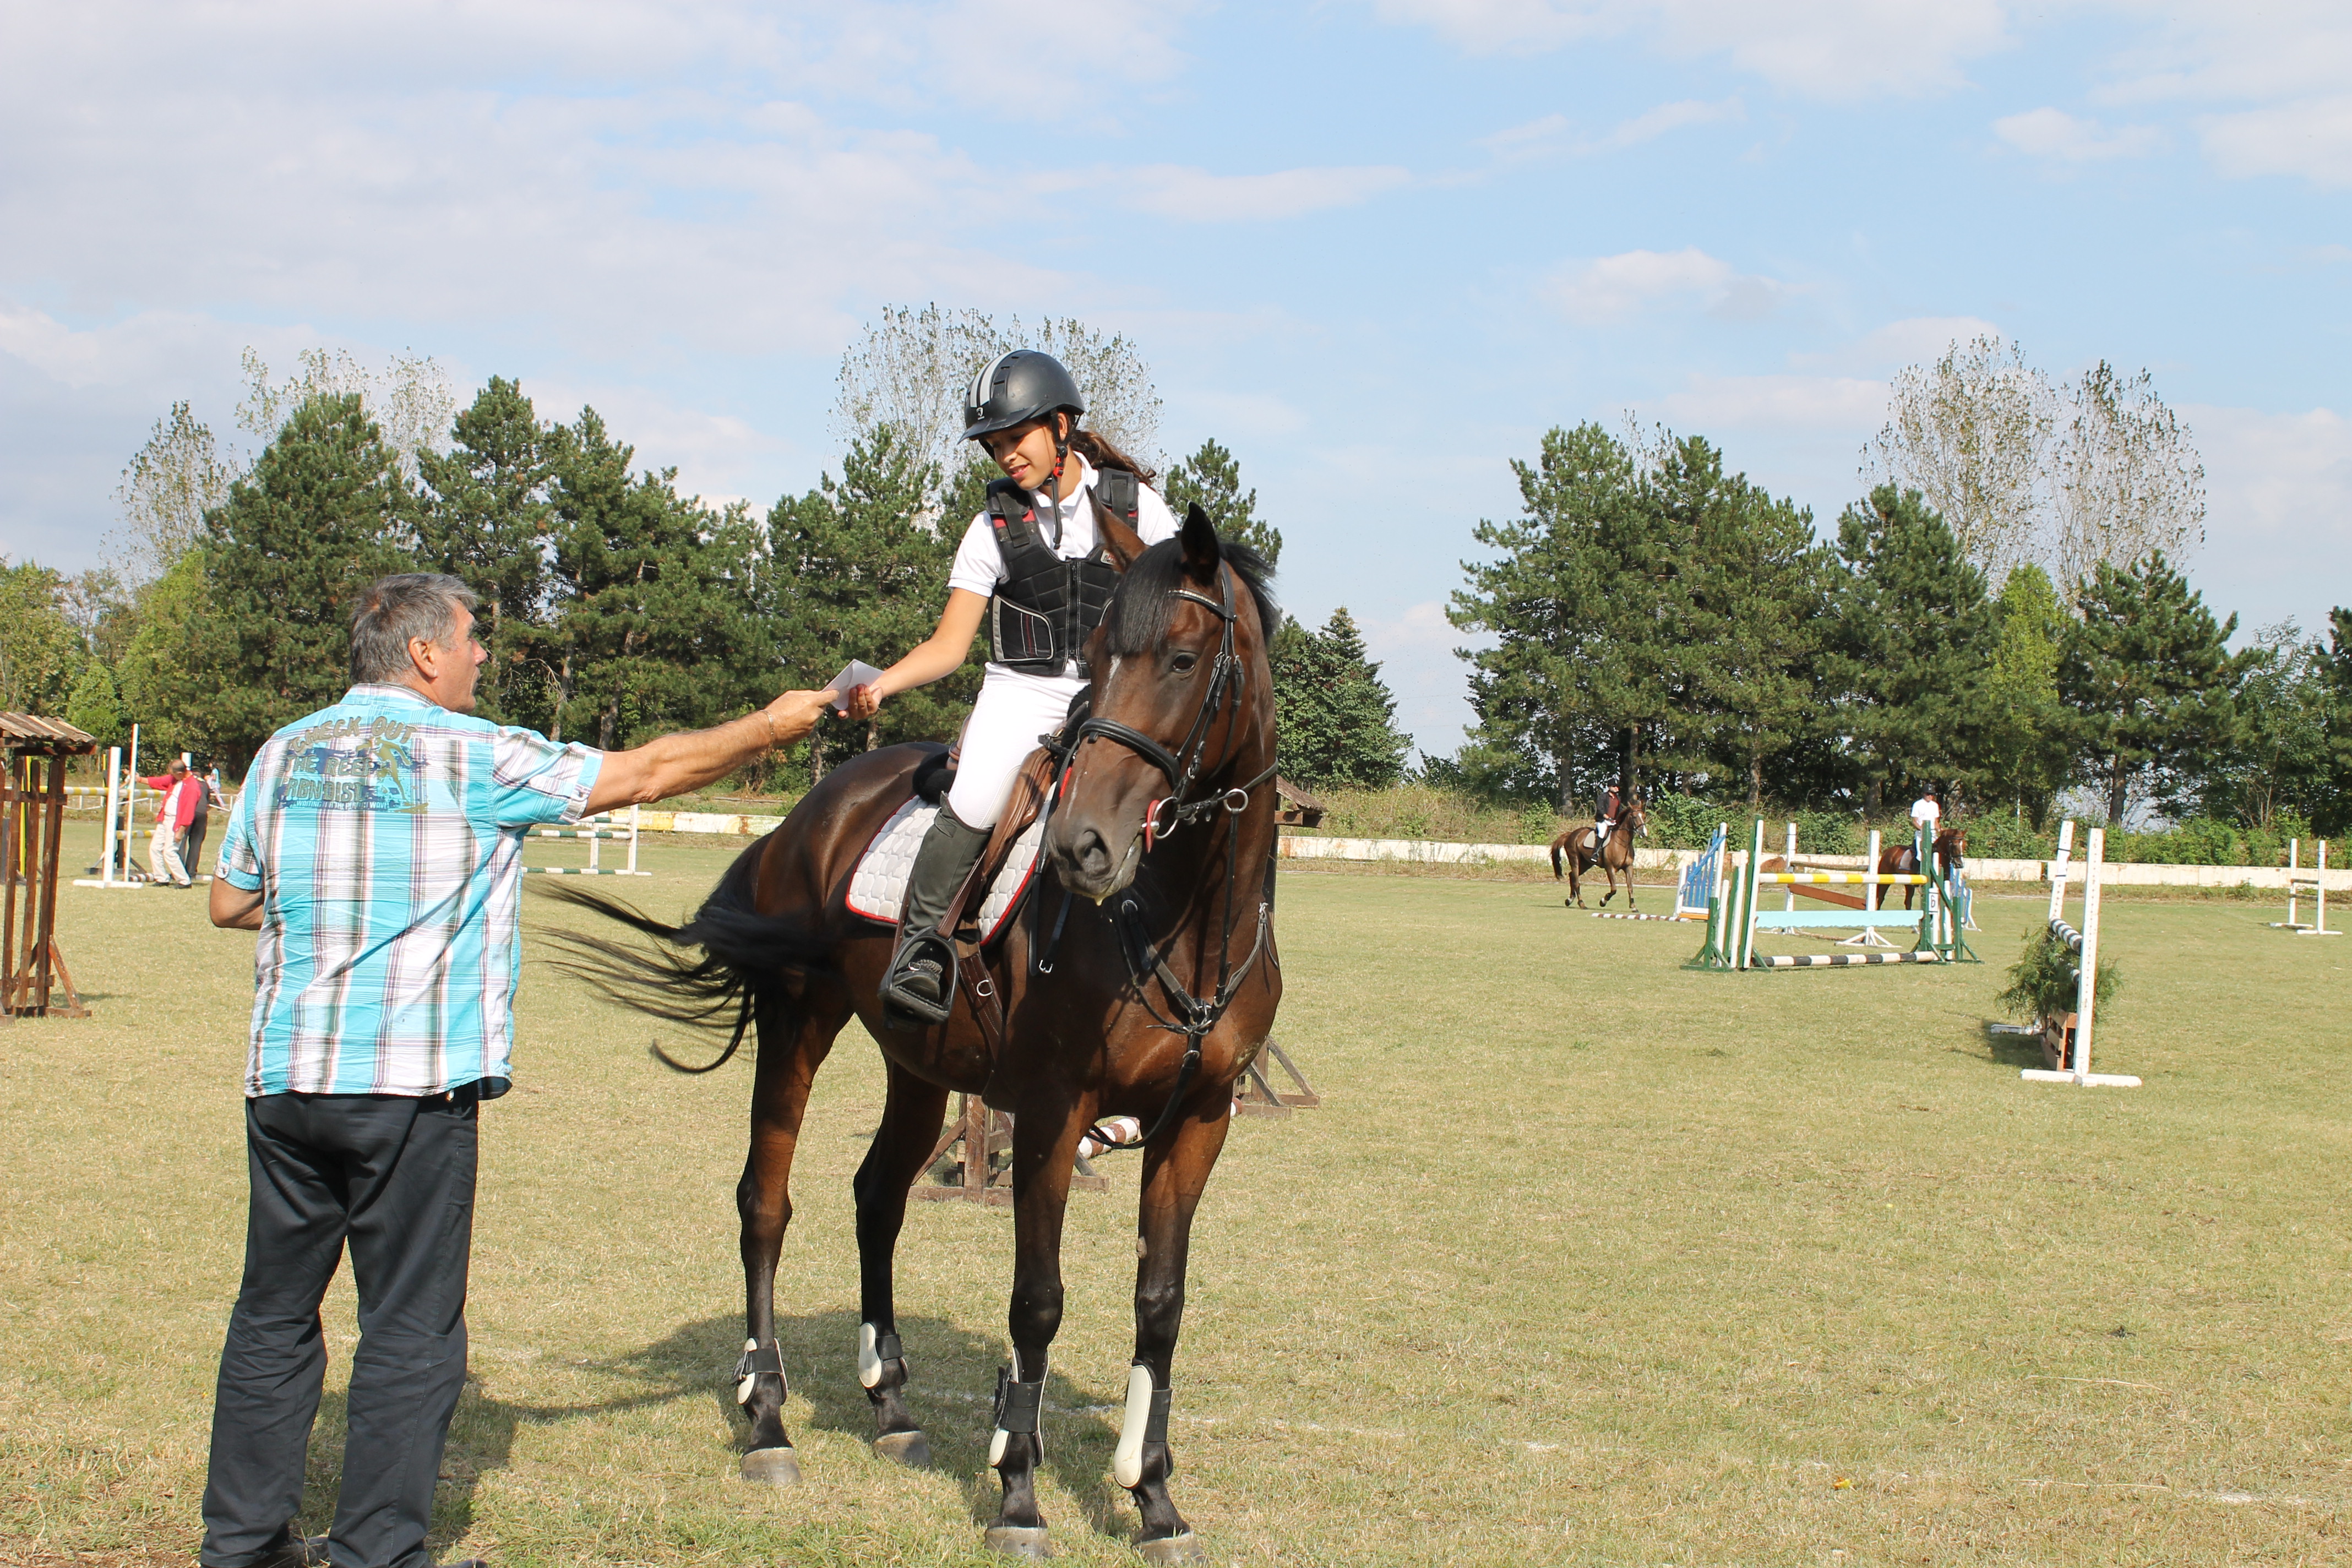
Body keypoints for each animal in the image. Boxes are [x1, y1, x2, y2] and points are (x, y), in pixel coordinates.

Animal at [543, 504, 1278, 1565]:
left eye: (1183, 659)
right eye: (1100, 657)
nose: (1081, 848)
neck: (1179, 916)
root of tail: (809, 811)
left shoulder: (1199, 1119)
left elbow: (1161, 1303)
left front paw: (1153, 1499)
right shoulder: (1054, 1114)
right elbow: (1038, 1300)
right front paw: (1019, 1490)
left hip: (920, 1066)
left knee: (876, 1197)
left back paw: (890, 1405)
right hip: (799, 1023)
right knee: (766, 1204)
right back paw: (767, 1418)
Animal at [1549, 793, 1647, 909]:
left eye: (1644, 817)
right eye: (1634, 817)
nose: (1644, 833)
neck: (1623, 843)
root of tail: (1571, 834)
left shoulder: (1629, 868)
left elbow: (1630, 887)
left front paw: (1633, 906)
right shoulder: (1610, 868)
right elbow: (1614, 889)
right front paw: (1603, 901)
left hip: (1586, 864)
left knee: (1572, 876)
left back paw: (1570, 900)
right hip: (1575, 859)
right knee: (1576, 880)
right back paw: (1581, 903)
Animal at [1876, 824, 1967, 909]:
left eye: (1964, 845)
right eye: (1954, 845)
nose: (1960, 864)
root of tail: (1888, 851)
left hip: (1909, 884)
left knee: (1908, 902)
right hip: (1886, 880)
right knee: (1881, 898)